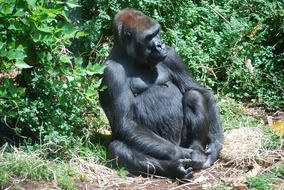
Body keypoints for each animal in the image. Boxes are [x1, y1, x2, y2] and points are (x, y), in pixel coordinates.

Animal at [100, 7, 224, 180]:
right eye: (149, 37)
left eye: (157, 32)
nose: (160, 45)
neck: (130, 56)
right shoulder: (111, 72)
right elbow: (126, 122)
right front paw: (183, 155)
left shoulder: (172, 55)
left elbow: (199, 91)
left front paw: (215, 143)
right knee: (118, 148)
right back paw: (175, 168)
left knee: (194, 96)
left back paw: (196, 149)